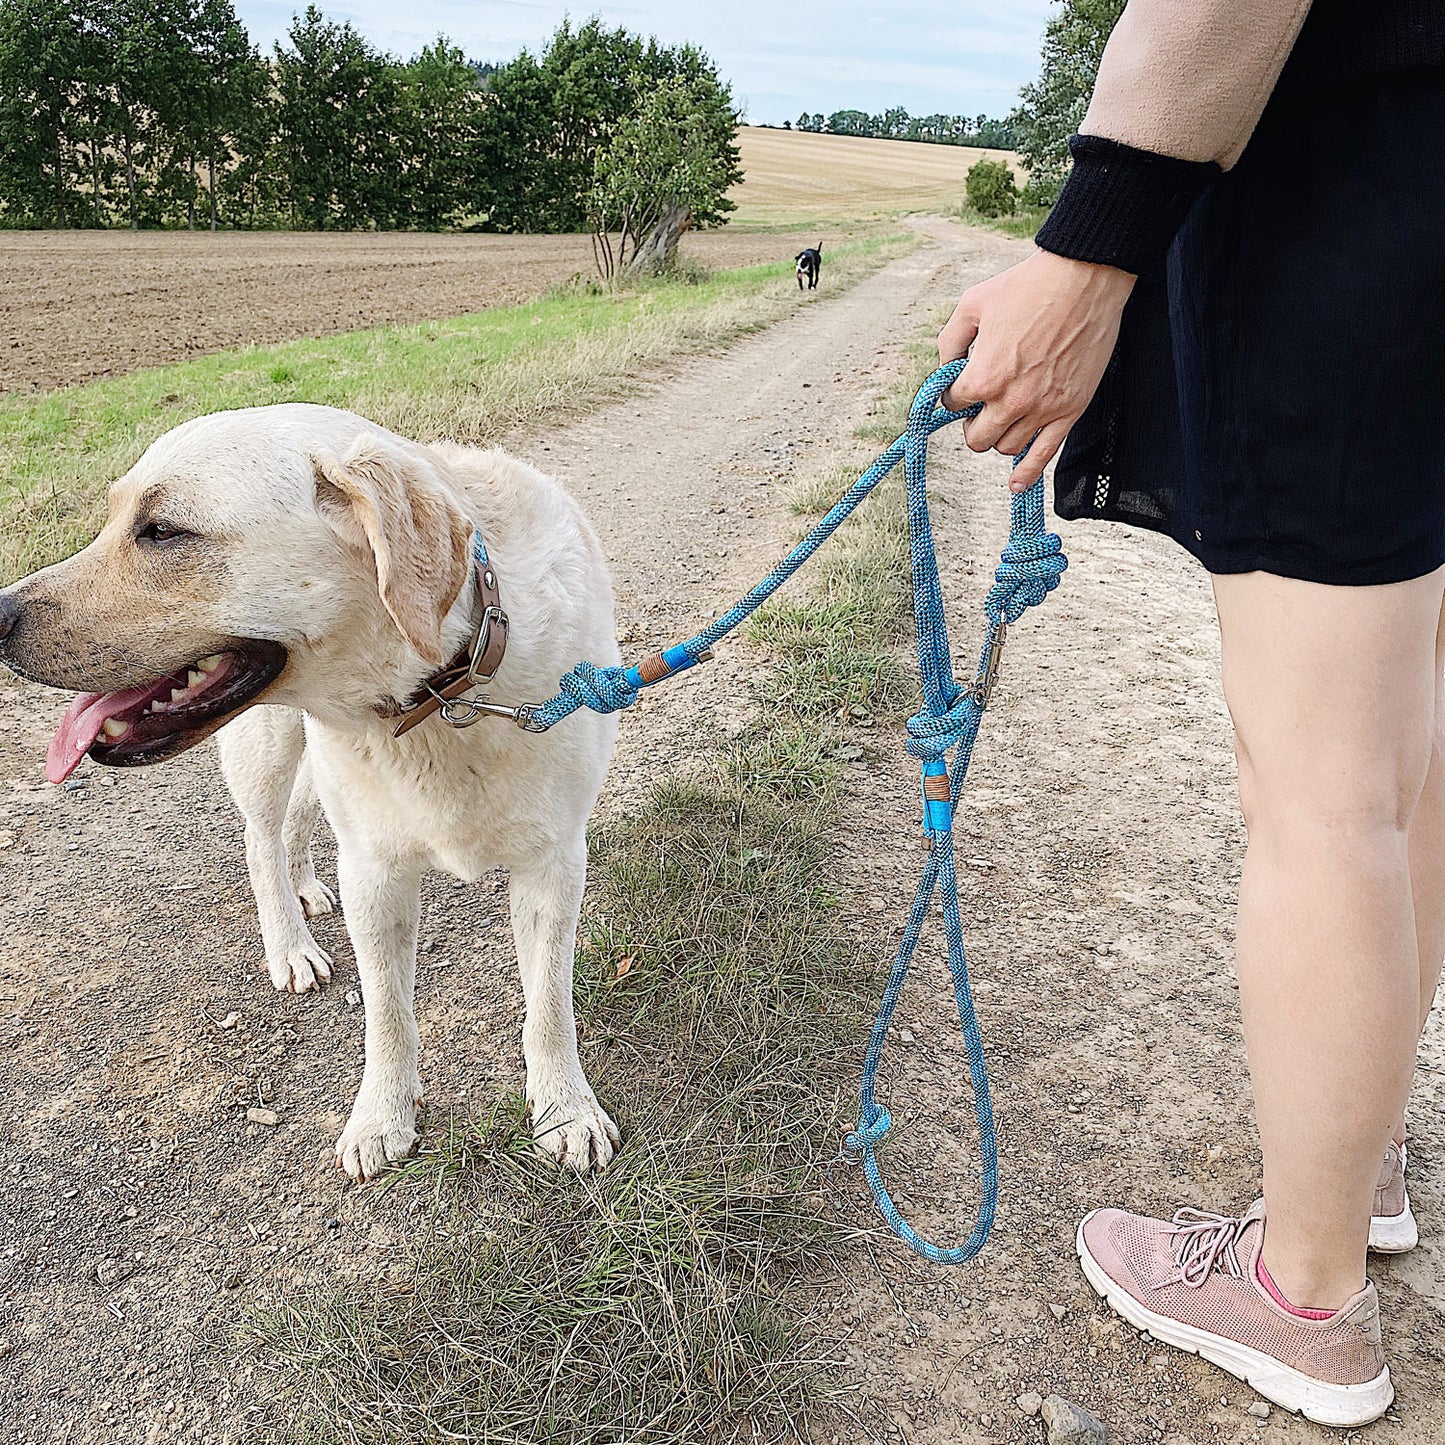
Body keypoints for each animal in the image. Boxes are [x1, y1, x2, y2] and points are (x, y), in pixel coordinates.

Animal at [0, 401, 621, 1179]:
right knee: (261, 838)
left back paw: (303, 890)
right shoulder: (374, 870)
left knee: (295, 823)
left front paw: (565, 1109)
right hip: (268, 746)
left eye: (163, 531)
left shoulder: (553, 863)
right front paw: (383, 1115)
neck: (437, 694)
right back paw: (289, 942)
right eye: (115, 518)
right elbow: (387, 1012)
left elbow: (547, 1005)